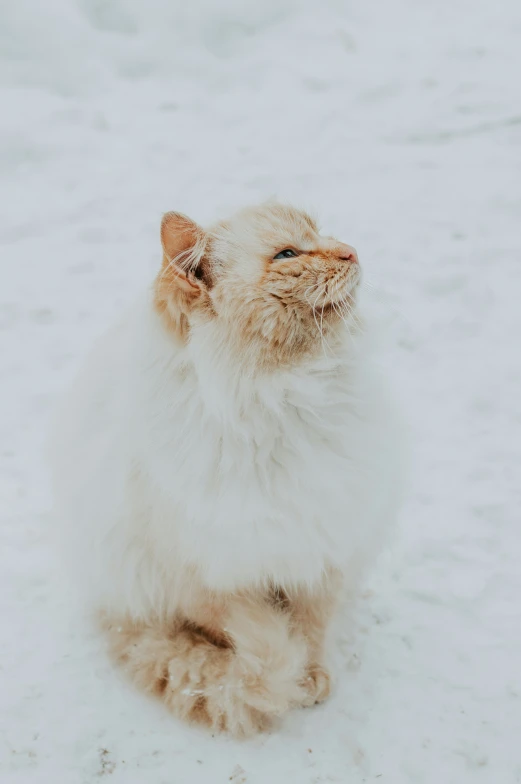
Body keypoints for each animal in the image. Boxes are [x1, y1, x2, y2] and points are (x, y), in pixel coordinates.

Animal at [50, 201, 402, 736]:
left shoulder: (322, 551)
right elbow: (245, 629)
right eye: (287, 254)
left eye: (321, 234)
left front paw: (312, 677)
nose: (351, 251)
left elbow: (310, 628)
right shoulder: (203, 575)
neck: (281, 400)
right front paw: (290, 678)